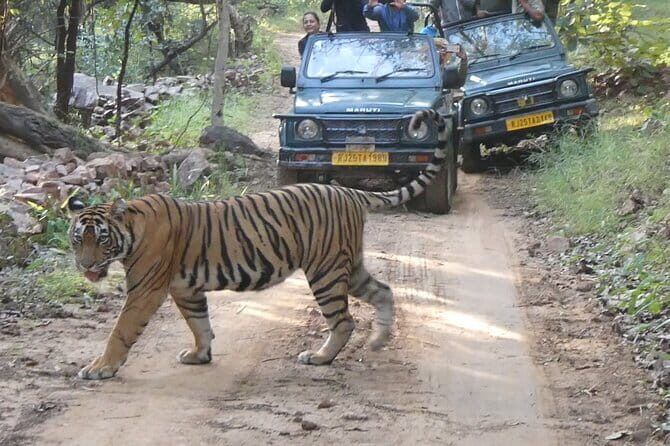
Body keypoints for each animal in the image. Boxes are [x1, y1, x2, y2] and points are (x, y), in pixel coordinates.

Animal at [67, 109, 448, 380]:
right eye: (77, 240)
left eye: (101, 239)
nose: (85, 266)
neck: (131, 230)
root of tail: (349, 192)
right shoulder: (186, 289)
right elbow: (199, 323)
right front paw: (199, 355)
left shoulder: (145, 290)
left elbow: (121, 330)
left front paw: (100, 368)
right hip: (349, 265)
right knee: (382, 290)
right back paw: (379, 340)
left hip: (325, 270)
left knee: (344, 321)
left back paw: (320, 357)